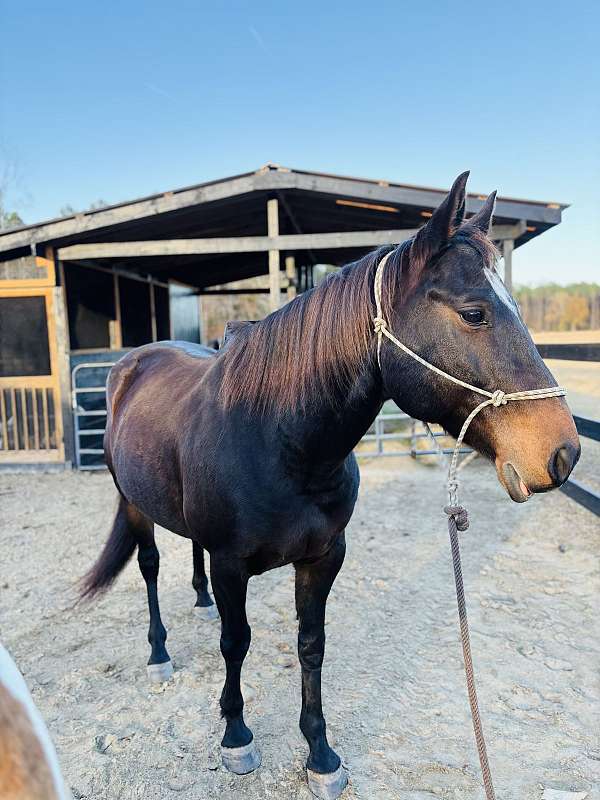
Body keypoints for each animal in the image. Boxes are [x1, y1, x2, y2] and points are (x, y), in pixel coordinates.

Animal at [82, 175, 580, 800]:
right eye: (474, 313)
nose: (563, 453)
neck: (278, 440)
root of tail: (132, 363)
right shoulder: (231, 564)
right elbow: (235, 642)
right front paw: (236, 736)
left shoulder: (323, 558)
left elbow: (311, 646)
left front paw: (320, 754)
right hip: (131, 502)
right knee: (148, 567)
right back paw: (158, 651)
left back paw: (197, 601)